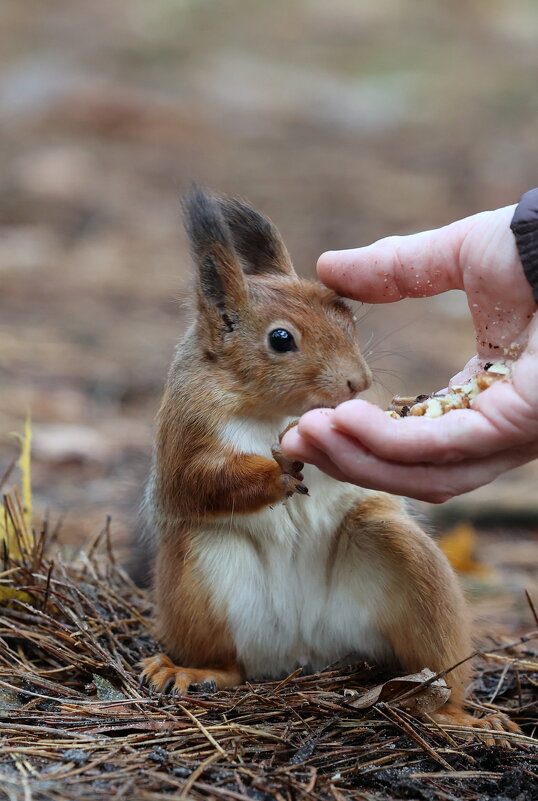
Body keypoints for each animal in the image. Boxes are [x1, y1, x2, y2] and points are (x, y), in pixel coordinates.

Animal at [140, 186, 516, 736]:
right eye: (280, 339)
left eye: (349, 319)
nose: (359, 383)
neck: (270, 411)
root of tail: (305, 650)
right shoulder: (185, 431)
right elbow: (197, 481)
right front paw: (276, 474)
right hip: (199, 579)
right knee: (227, 664)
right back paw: (192, 671)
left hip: (407, 565)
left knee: (437, 671)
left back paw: (458, 715)